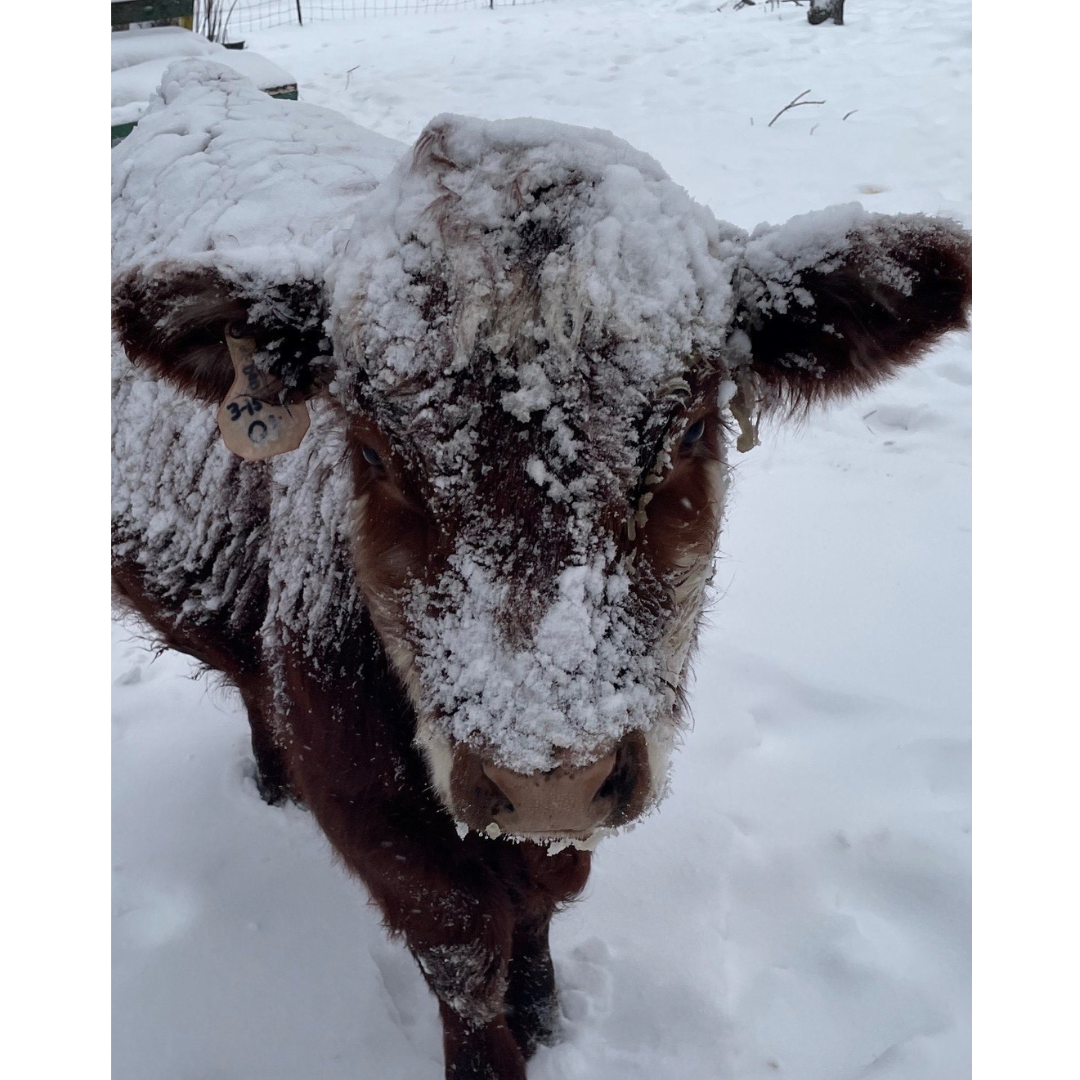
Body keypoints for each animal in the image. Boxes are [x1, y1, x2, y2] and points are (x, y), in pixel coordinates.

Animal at [109, 61, 972, 1080]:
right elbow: (458, 948)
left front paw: (545, 1008)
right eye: (371, 450)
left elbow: (538, 900)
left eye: (690, 427)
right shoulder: (367, 801)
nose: (546, 777)